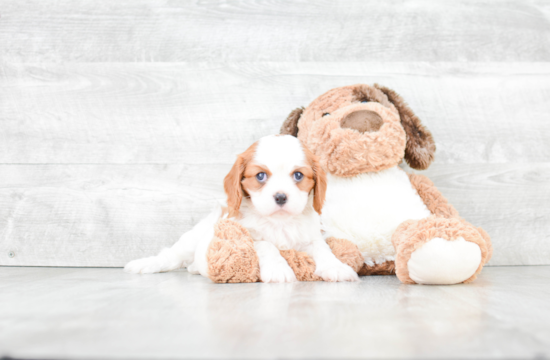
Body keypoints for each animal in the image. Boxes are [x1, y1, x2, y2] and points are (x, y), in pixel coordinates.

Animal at [124, 134, 358, 282]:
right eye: (260, 176)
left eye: (298, 175)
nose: (281, 197)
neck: (278, 222)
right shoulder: (247, 235)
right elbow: (267, 245)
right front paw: (278, 269)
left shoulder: (309, 237)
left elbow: (322, 249)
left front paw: (336, 267)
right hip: (190, 241)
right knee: (169, 256)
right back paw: (144, 264)